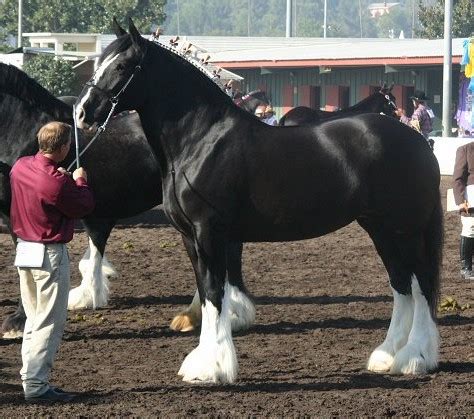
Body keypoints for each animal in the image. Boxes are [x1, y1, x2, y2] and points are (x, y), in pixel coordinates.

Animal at [77, 20, 444, 384]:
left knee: (422, 284)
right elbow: (206, 294)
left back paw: (414, 357)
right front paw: (203, 361)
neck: (201, 140)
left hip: (407, 230)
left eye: (122, 66)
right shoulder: (190, 238)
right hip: (380, 229)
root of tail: (417, 140)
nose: (82, 112)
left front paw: (215, 366)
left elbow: (215, 293)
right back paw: (387, 355)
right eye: (99, 64)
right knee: (401, 284)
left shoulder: (210, 233)